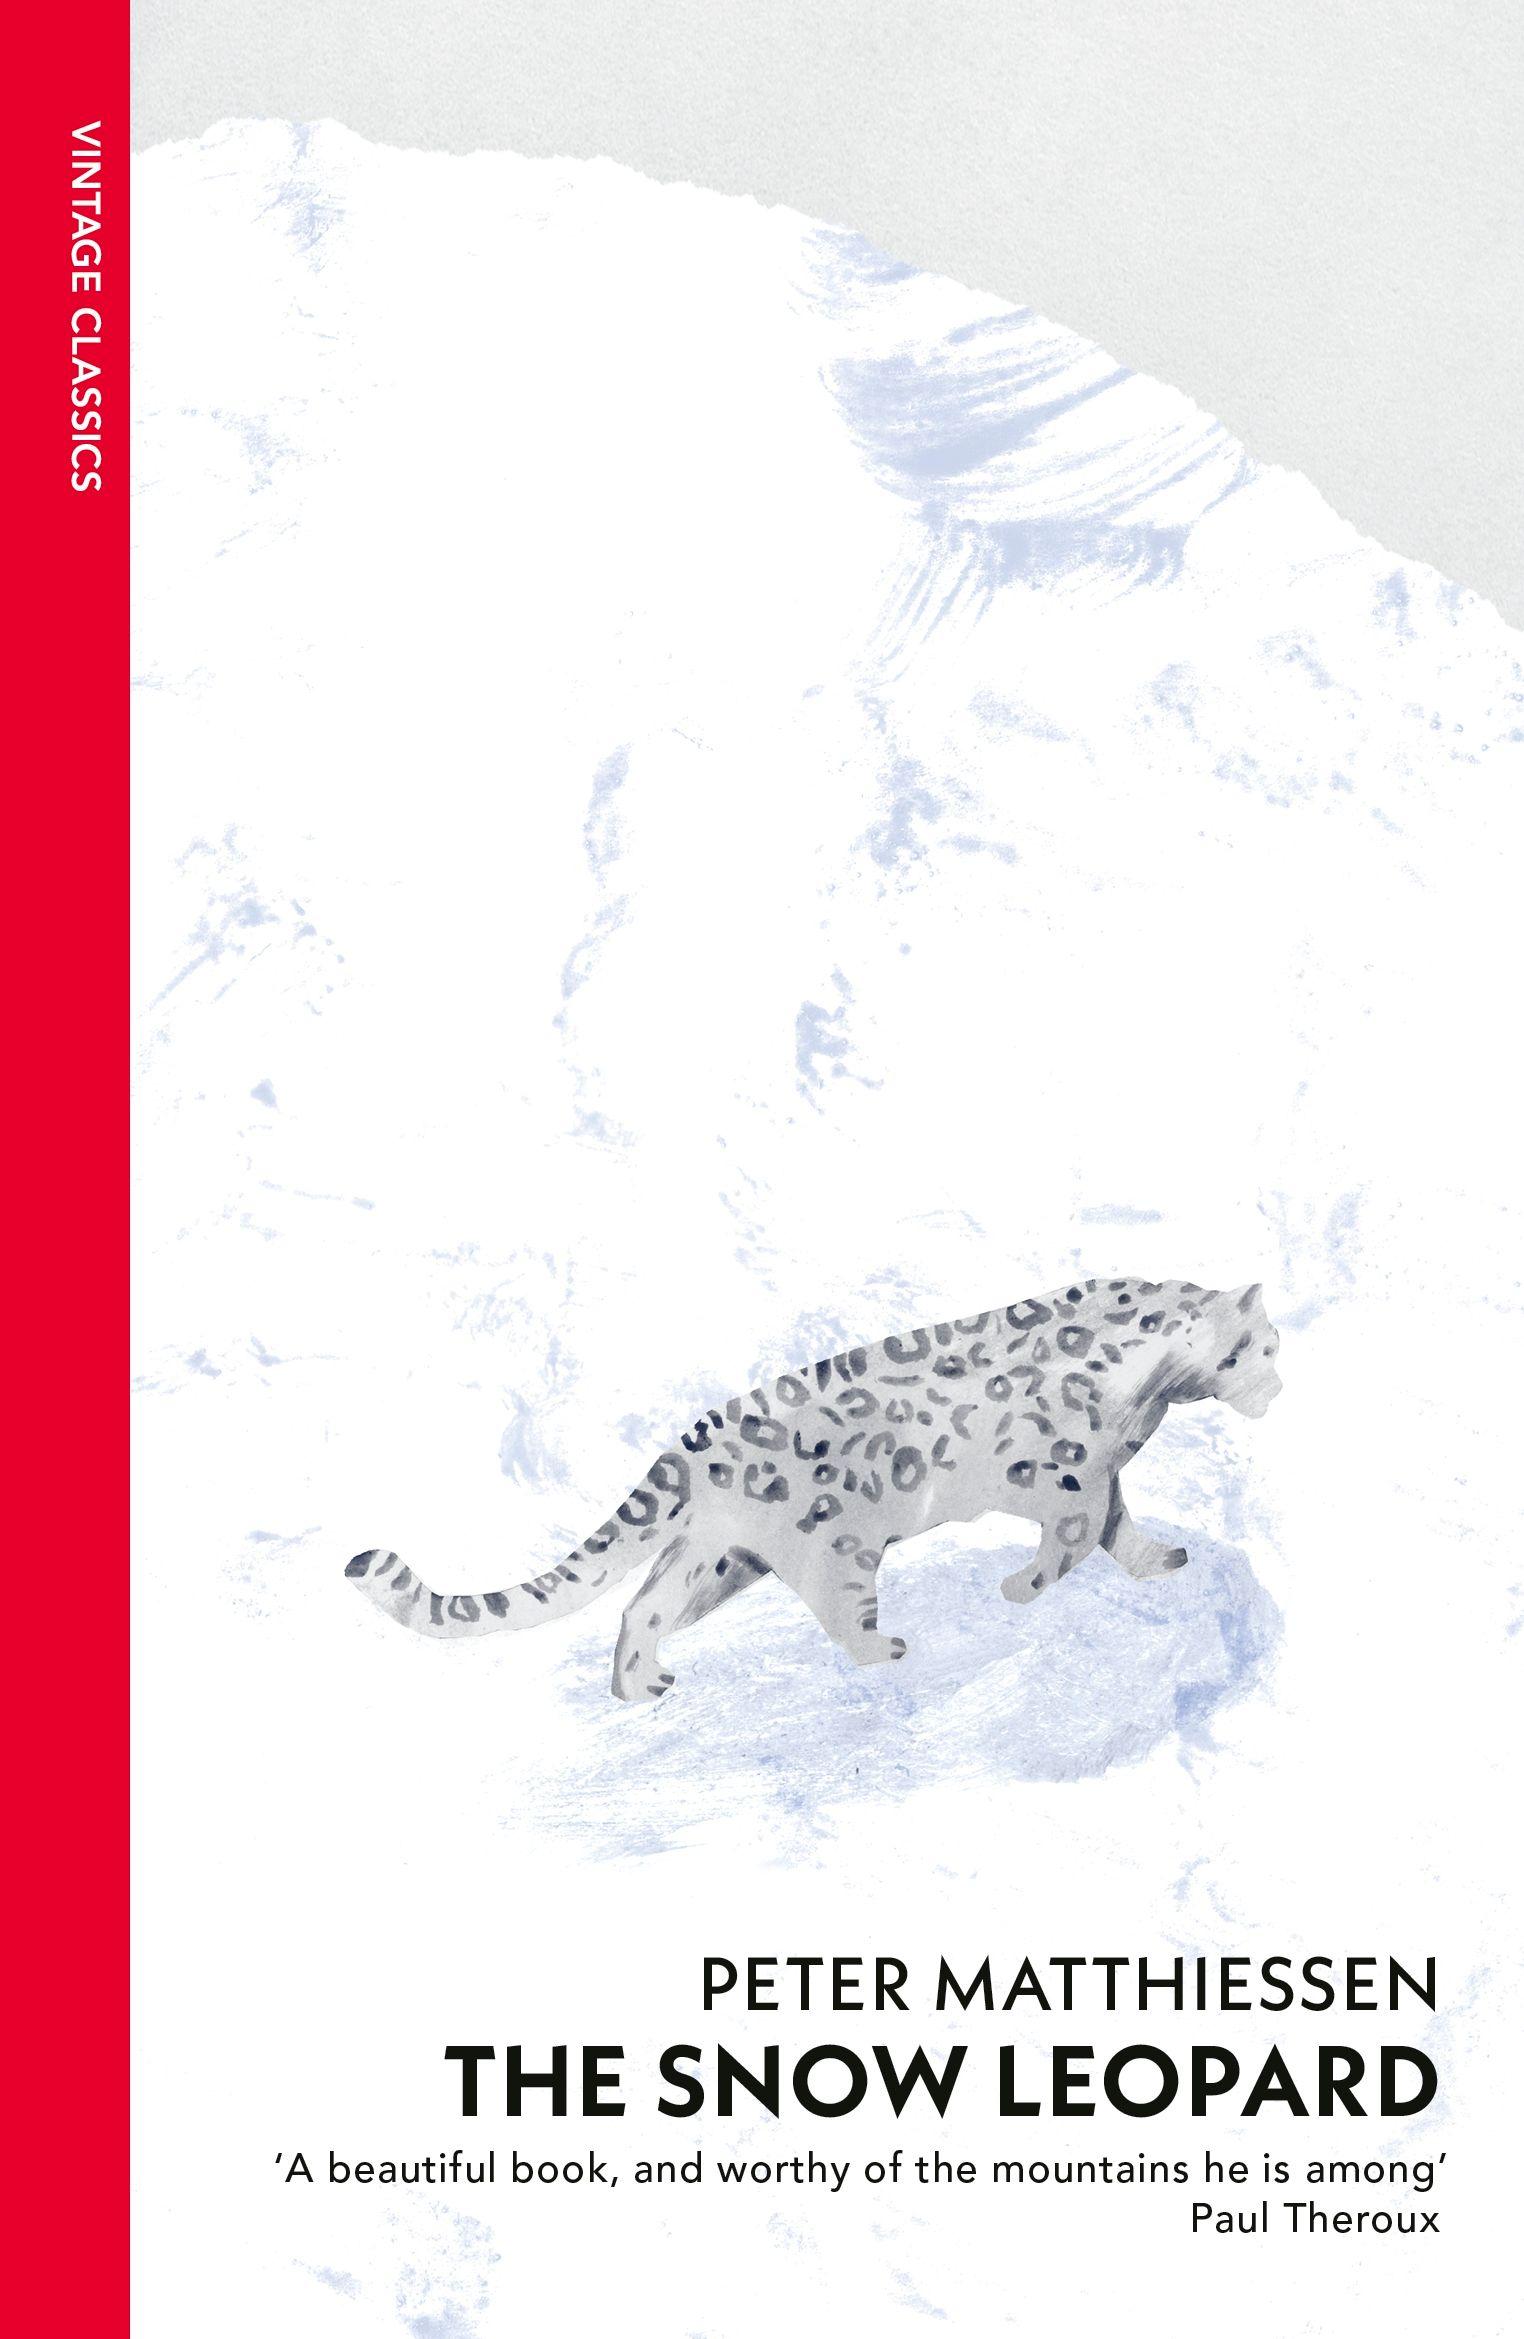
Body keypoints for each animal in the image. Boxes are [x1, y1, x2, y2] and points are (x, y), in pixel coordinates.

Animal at [346, 1276, 1282, 1702]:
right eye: (1248, 1349)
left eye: (1273, 1344)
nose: (1276, 1389)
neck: (1152, 1387)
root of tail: (696, 1443)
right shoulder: (1065, 1471)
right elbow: (1080, 1531)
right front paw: (1021, 1586)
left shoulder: (1101, 1471)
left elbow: (1118, 1523)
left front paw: (1161, 1557)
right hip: (836, 1540)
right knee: (838, 1602)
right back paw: (884, 1648)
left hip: (713, 1557)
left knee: (643, 1604)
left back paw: (641, 1685)